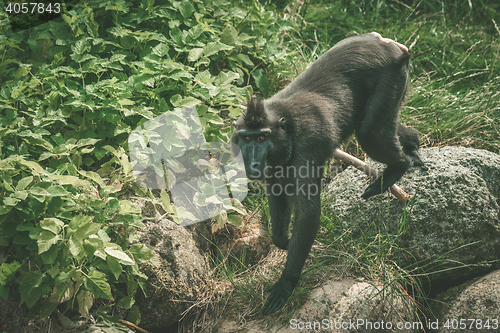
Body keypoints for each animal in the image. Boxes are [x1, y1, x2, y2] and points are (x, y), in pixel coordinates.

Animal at [230, 32, 426, 312]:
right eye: (247, 138)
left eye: (261, 139)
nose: (254, 162)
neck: (285, 126)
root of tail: (387, 45)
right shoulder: (277, 165)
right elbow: (278, 198)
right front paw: (284, 240)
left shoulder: (307, 146)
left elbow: (309, 212)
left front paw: (286, 282)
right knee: (383, 126)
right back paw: (412, 144)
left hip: (391, 78)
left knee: (369, 132)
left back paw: (398, 167)